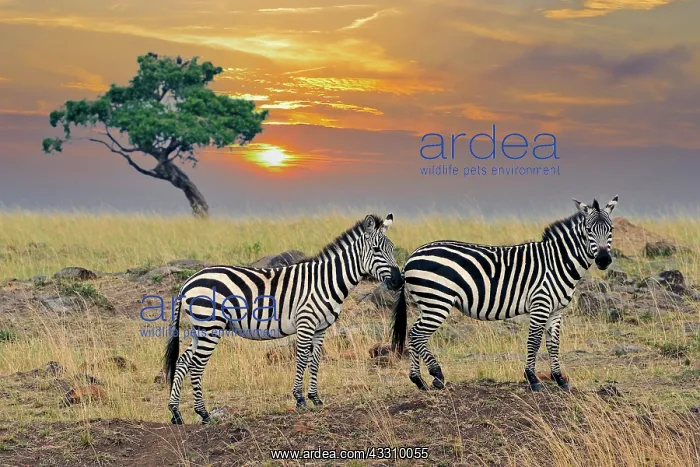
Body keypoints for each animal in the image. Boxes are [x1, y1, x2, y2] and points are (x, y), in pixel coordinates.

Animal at [164, 213, 403, 424]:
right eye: (376, 250)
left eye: (392, 249)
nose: (399, 281)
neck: (327, 281)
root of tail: (188, 282)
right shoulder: (306, 322)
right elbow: (302, 359)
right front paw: (300, 399)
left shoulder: (321, 328)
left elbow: (315, 360)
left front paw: (315, 399)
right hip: (210, 326)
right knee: (196, 365)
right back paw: (203, 414)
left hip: (201, 328)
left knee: (183, 361)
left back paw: (176, 413)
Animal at [391, 196, 618, 393]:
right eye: (588, 230)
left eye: (611, 229)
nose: (604, 260)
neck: (557, 262)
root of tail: (411, 257)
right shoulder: (540, 304)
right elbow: (534, 341)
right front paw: (532, 379)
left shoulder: (556, 310)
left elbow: (553, 344)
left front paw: (560, 380)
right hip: (437, 301)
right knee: (417, 335)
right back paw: (436, 375)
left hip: (428, 303)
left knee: (413, 334)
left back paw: (419, 381)